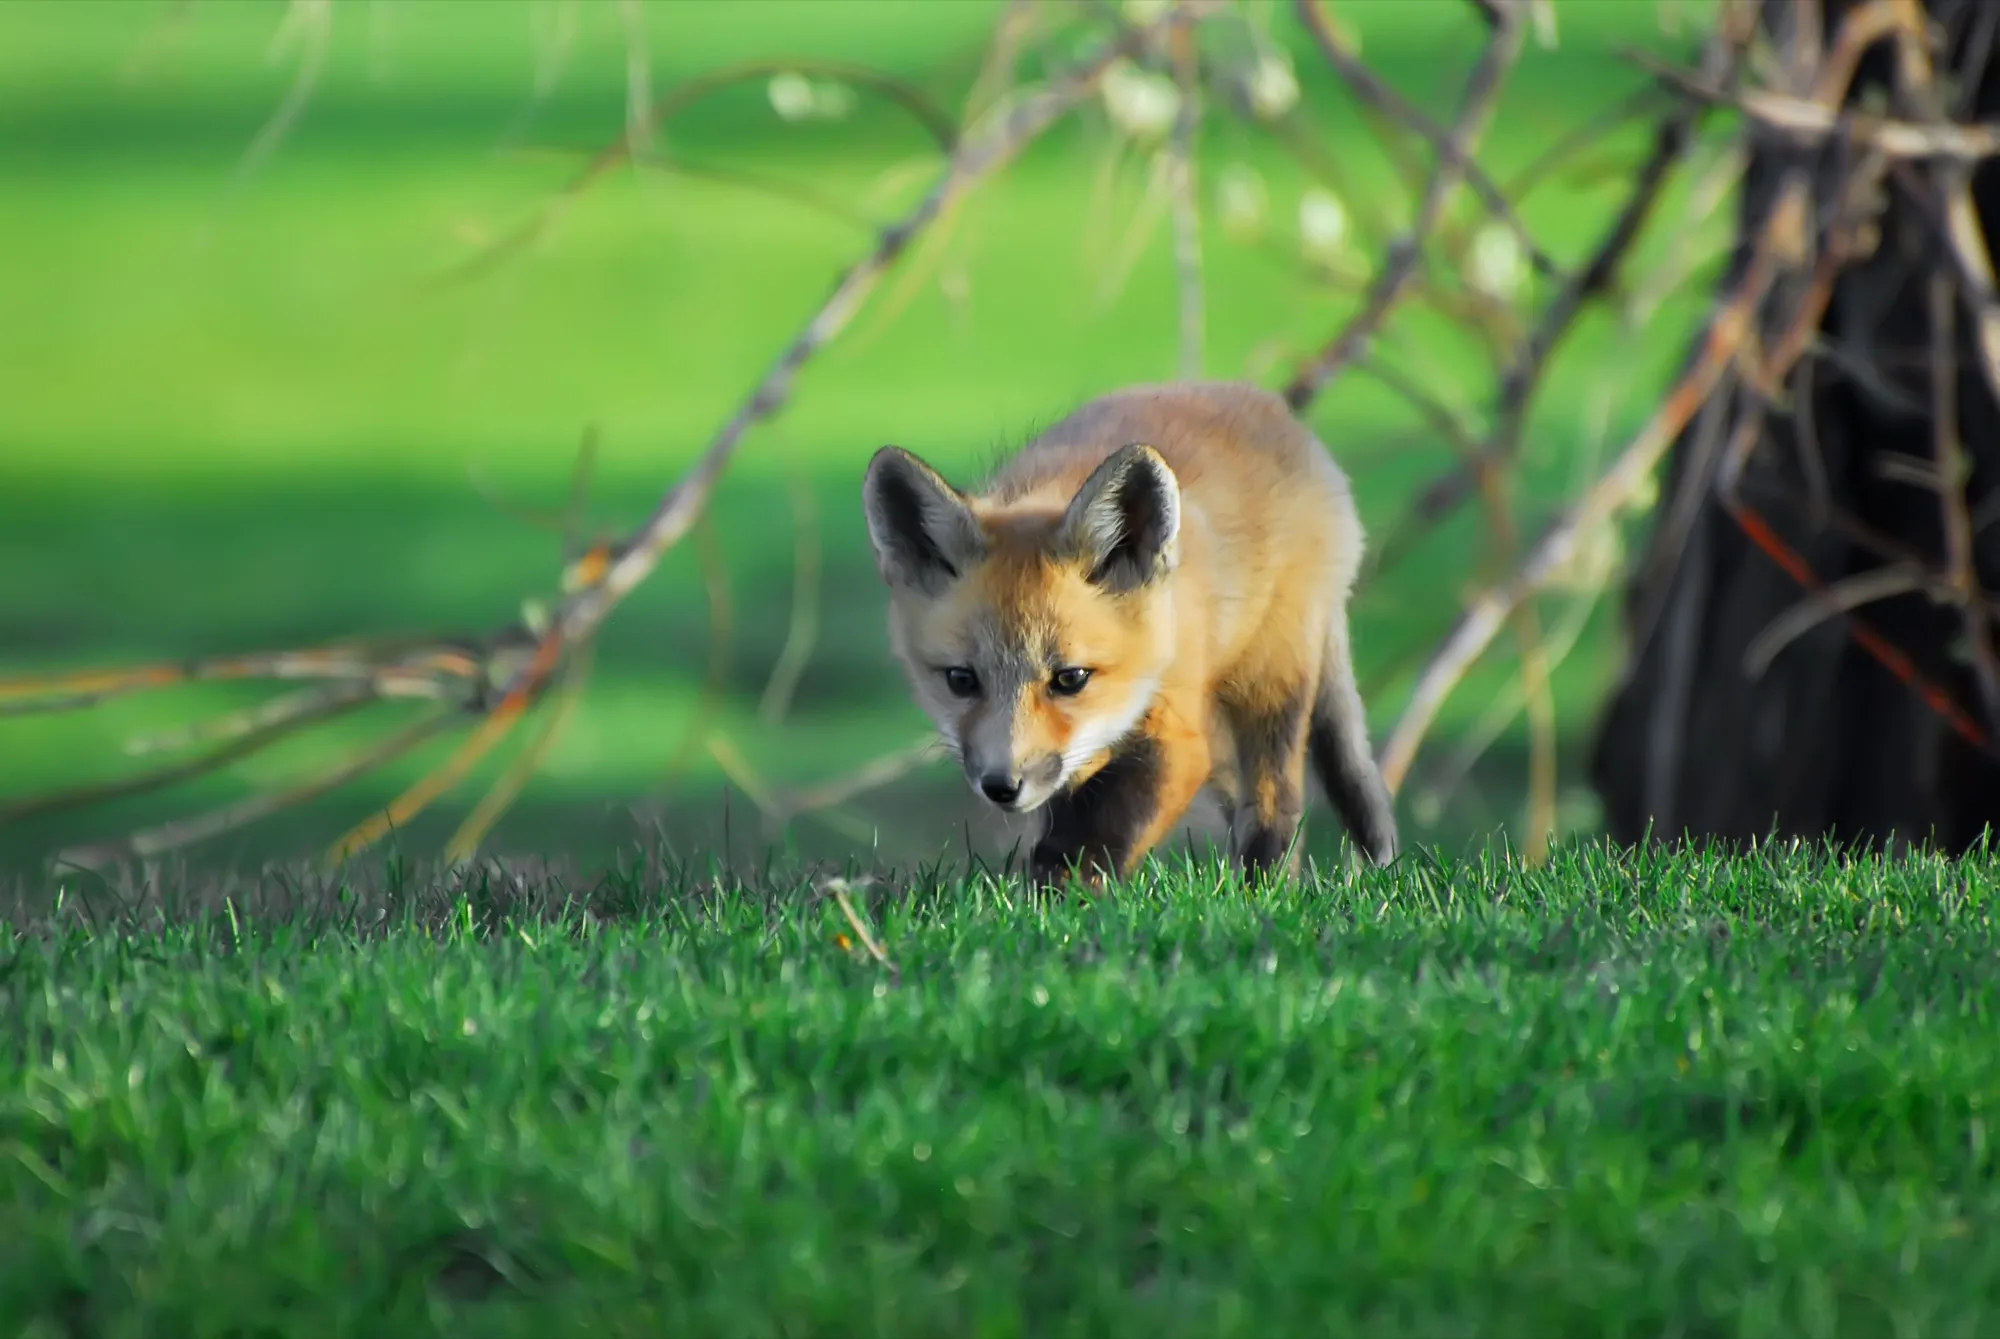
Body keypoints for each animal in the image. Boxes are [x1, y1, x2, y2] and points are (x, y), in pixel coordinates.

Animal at [860, 380, 1400, 890]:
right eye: (961, 680)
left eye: (1071, 678)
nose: (1002, 785)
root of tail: (1270, 407)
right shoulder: (1081, 759)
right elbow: (1065, 824)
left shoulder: (1177, 736)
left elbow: (1092, 839)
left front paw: (1061, 903)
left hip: (1270, 680)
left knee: (1277, 803)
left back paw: (1262, 888)